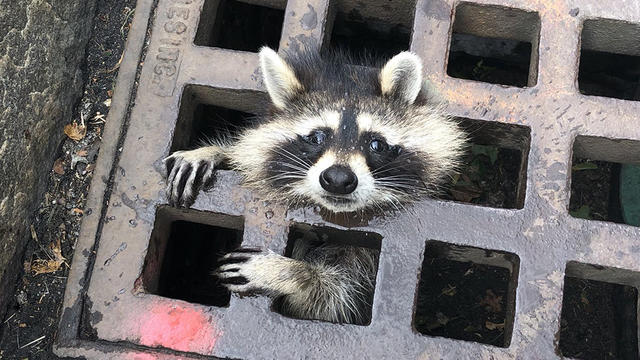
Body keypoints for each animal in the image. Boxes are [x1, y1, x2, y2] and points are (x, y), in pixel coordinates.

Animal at [165, 47, 464, 324]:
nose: (338, 179)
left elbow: (333, 298)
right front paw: (214, 151)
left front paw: (292, 273)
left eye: (376, 144)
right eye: (317, 137)